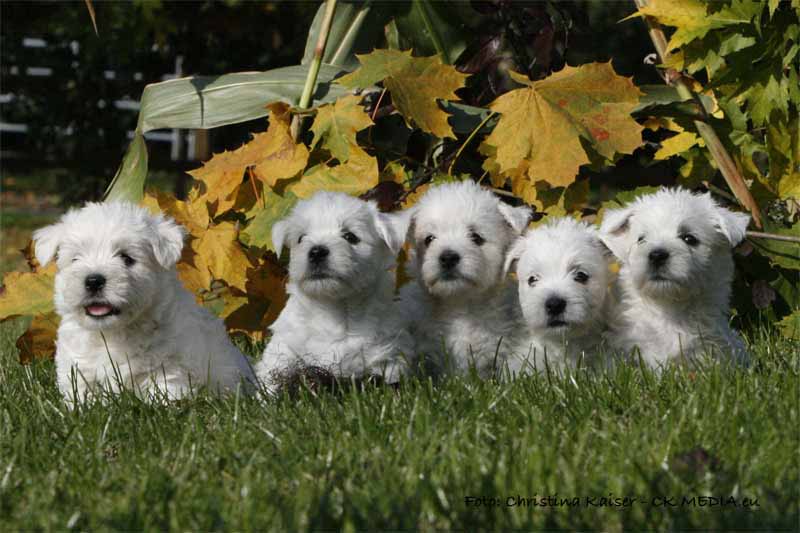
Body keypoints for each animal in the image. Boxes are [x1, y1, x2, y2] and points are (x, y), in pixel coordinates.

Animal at [32, 202, 253, 406]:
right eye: (75, 259)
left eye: (126, 258)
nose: (93, 281)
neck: (112, 333)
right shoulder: (78, 370)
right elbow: (82, 395)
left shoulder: (168, 368)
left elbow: (163, 395)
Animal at [256, 191, 412, 390]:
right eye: (301, 238)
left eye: (350, 237)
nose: (316, 252)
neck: (334, 310)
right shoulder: (283, 349)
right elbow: (270, 380)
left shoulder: (388, 356)